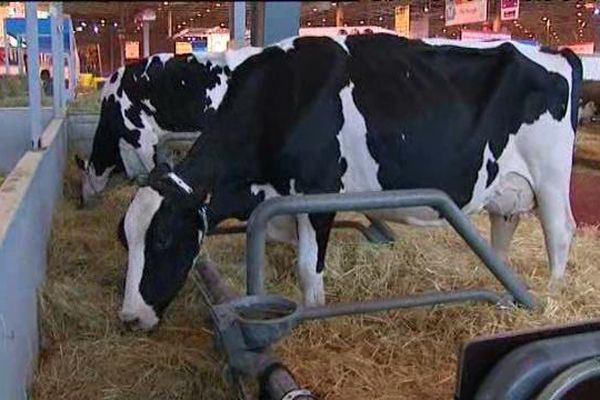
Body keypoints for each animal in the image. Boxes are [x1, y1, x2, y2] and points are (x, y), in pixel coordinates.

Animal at [116, 34, 580, 330]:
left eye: (161, 239)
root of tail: (556, 53)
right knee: (504, 227)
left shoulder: (317, 194)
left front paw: (313, 315)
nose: (130, 318)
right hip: (506, 187)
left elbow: (308, 271)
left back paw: (552, 297)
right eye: (125, 239)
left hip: (551, 178)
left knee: (560, 233)